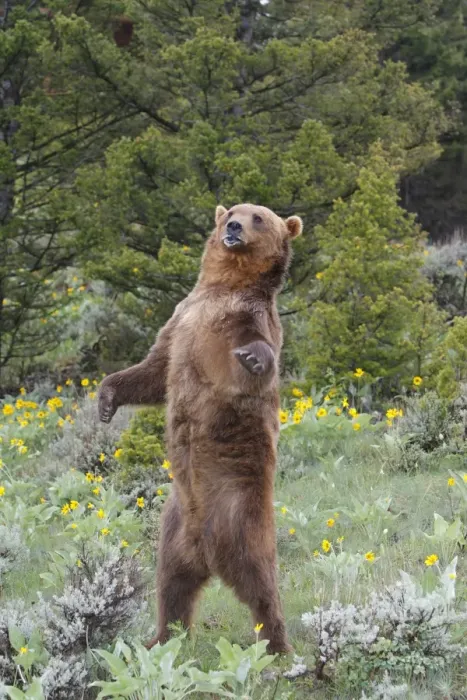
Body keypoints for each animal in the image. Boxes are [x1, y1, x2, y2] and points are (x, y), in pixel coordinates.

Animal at [98, 203, 303, 653]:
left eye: (259, 217)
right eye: (234, 211)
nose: (234, 227)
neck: (223, 286)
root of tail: (205, 550)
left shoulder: (244, 320)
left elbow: (255, 359)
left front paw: (254, 357)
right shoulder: (181, 319)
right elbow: (153, 371)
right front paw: (105, 400)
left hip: (241, 516)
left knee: (262, 585)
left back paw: (278, 646)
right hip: (171, 529)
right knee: (171, 585)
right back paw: (160, 638)